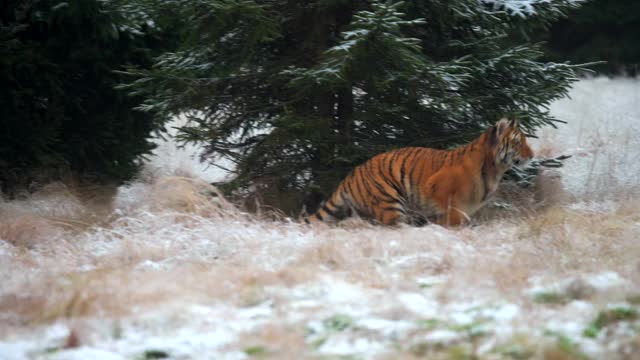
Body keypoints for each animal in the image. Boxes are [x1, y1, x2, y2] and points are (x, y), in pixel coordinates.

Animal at [304, 118, 536, 225]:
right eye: (518, 142)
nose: (533, 155)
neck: (494, 169)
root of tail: (350, 176)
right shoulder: (437, 188)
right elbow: (452, 219)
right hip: (390, 203)